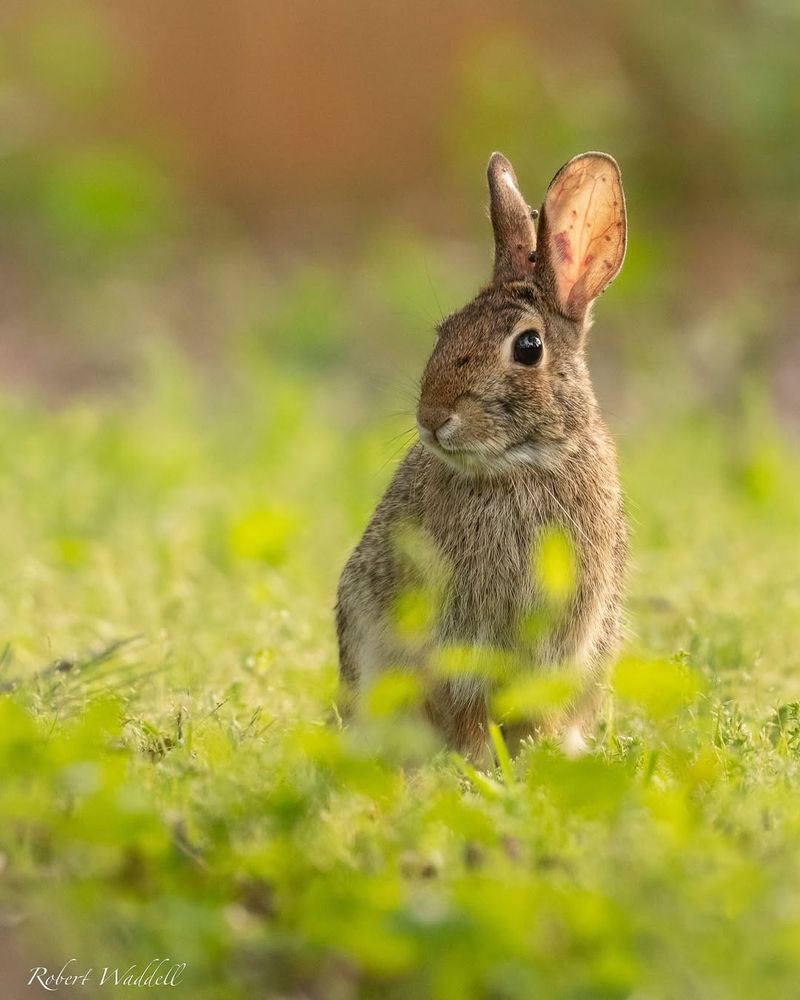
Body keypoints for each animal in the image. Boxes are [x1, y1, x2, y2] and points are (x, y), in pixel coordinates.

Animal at [334, 148, 628, 760]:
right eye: (444, 331)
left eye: (529, 346)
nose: (432, 417)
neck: (523, 464)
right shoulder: (457, 640)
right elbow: (467, 710)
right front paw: (478, 764)